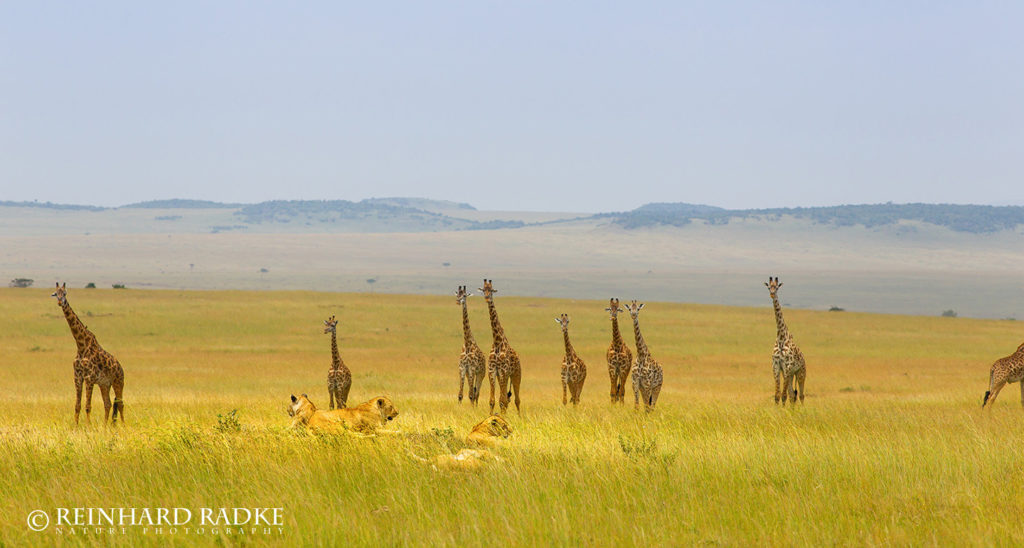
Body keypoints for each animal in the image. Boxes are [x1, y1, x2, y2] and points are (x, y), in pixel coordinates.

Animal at [51, 282, 125, 424]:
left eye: (65, 293)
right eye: (55, 293)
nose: (60, 302)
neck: (81, 345)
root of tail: (121, 367)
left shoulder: (89, 377)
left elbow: (87, 406)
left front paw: (88, 426)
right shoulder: (77, 377)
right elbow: (77, 405)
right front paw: (76, 425)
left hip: (118, 382)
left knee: (120, 403)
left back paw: (123, 425)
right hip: (104, 384)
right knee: (108, 403)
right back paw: (104, 426)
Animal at [481, 280, 524, 413]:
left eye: (492, 290)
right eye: (483, 290)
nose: (487, 298)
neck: (497, 342)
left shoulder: (503, 370)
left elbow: (503, 400)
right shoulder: (492, 370)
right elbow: (492, 400)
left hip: (516, 374)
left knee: (516, 400)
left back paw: (520, 416)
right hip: (504, 376)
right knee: (506, 399)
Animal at [770, 276, 806, 405]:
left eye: (777, 287)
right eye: (769, 286)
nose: (772, 294)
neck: (781, 337)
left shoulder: (787, 366)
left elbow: (783, 395)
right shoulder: (776, 365)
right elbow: (777, 395)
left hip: (800, 373)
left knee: (801, 395)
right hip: (791, 375)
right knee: (792, 395)